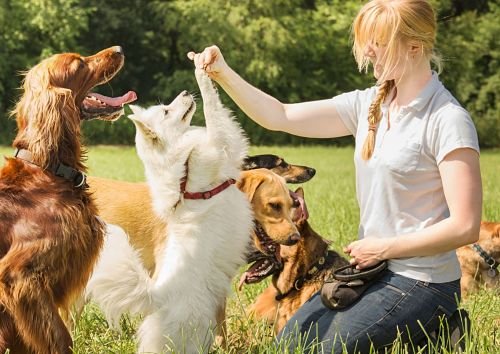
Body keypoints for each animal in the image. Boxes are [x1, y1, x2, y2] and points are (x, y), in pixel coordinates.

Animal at [87, 70, 254, 354]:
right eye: (166, 111)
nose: (185, 92)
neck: (184, 164)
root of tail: (157, 296)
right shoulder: (223, 143)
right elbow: (213, 108)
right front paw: (202, 72)